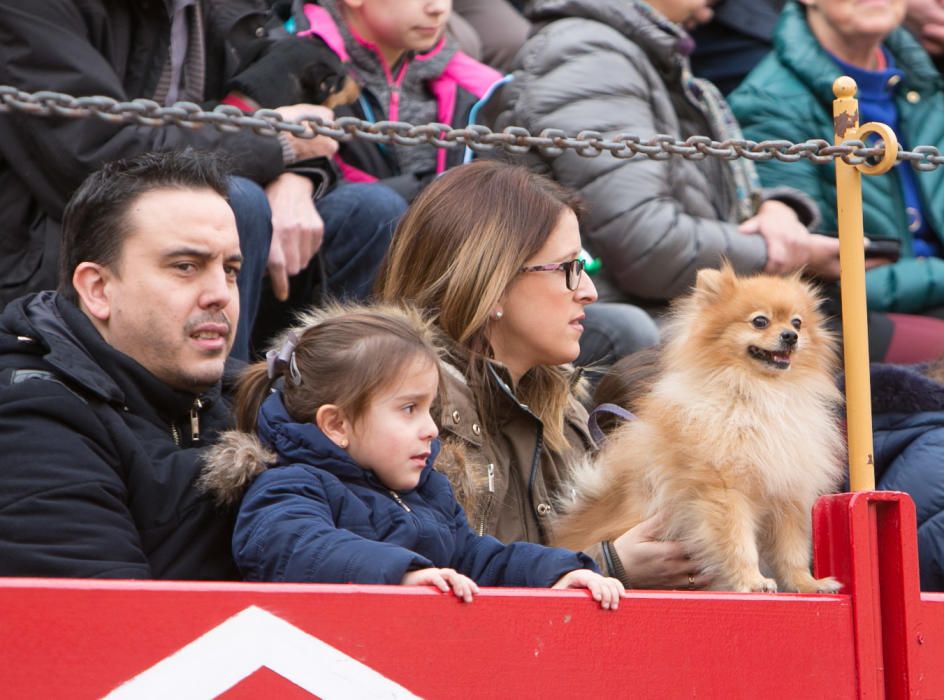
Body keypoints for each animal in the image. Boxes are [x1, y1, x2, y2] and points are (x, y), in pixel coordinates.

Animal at [548, 266, 844, 592]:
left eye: (797, 323)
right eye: (760, 321)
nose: (791, 336)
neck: (759, 395)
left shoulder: (787, 491)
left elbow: (793, 551)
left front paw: (808, 584)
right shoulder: (724, 491)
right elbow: (738, 544)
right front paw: (752, 581)